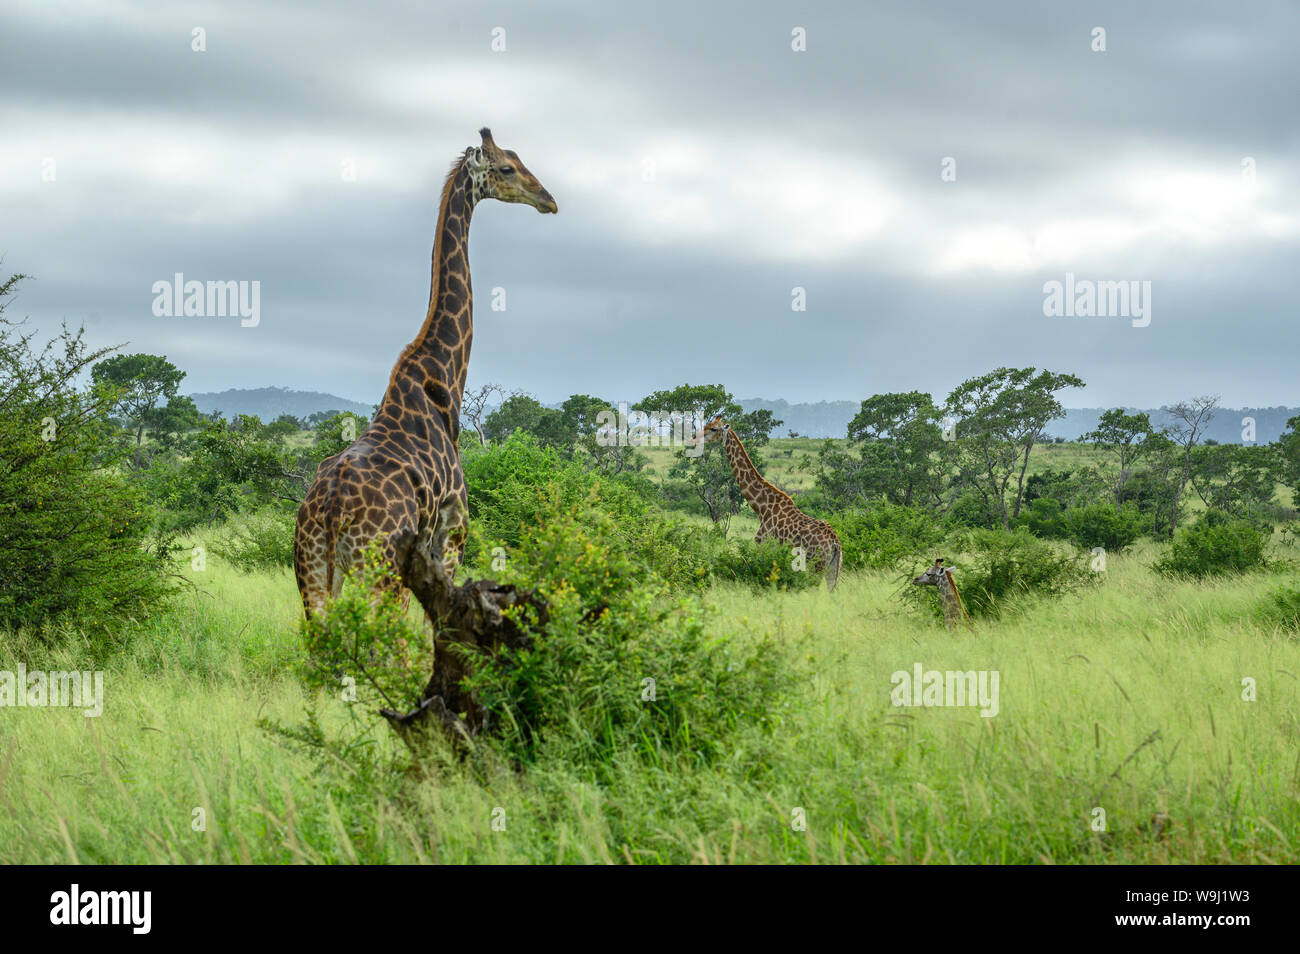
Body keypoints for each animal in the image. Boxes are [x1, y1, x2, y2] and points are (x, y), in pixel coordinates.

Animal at [294, 128, 557, 618]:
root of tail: (331, 508)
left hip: (313, 572)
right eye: (507, 167)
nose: (548, 199)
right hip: (378, 571)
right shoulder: (451, 536)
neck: (443, 379)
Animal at [695, 416, 843, 591]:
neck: (762, 508)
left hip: (816, 565)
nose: (694, 437)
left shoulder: (763, 545)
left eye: (713, 429)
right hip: (833, 568)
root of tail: (834, 542)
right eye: (707, 424)